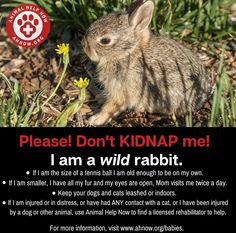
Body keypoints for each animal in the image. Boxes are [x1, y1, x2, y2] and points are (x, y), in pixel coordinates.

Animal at [82, 0, 211, 125]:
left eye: (105, 41)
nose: (84, 45)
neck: (128, 53)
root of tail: (200, 99)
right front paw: (100, 97)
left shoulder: (121, 90)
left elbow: (111, 107)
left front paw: (96, 119)